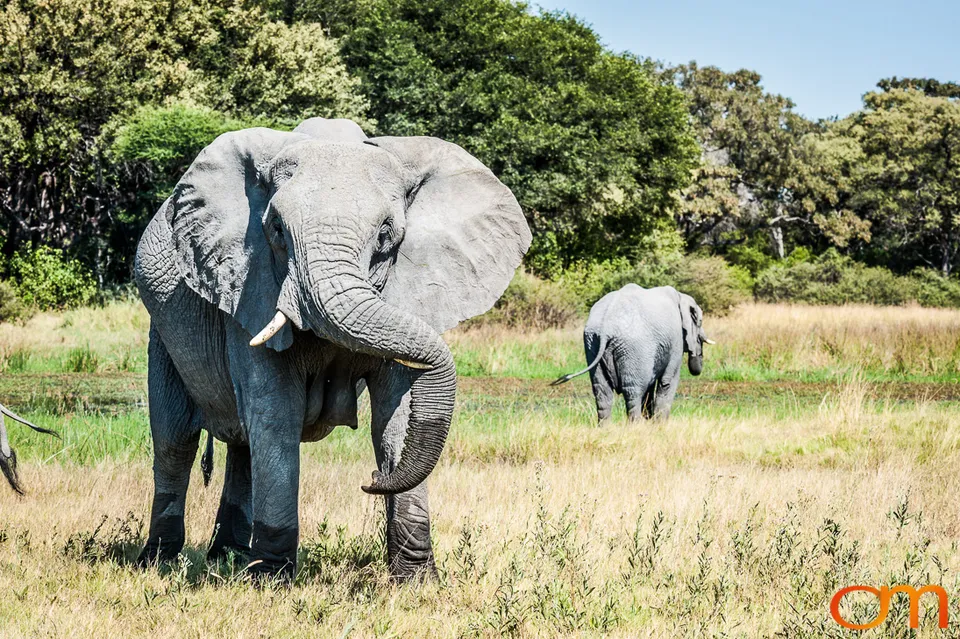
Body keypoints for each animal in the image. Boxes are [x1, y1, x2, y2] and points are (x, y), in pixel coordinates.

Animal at [133, 117, 530, 582]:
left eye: (386, 234)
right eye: (276, 230)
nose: (372, 479)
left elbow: (396, 414)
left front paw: (415, 583)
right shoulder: (248, 287)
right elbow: (276, 412)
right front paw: (271, 580)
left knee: (242, 444)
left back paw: (227, 557)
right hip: (162, 329)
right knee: (176, 440)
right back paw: (158, 562)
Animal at [552, 285, 713, 422]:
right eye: (700, 321)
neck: (680, 296)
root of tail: (606, 328)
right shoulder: (675, 341)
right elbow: (667, 381)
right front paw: (660, 424)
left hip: (592, 343)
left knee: (602, 391)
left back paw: (606, 429)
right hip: (634, 348)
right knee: (633, 391)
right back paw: (636, 426)